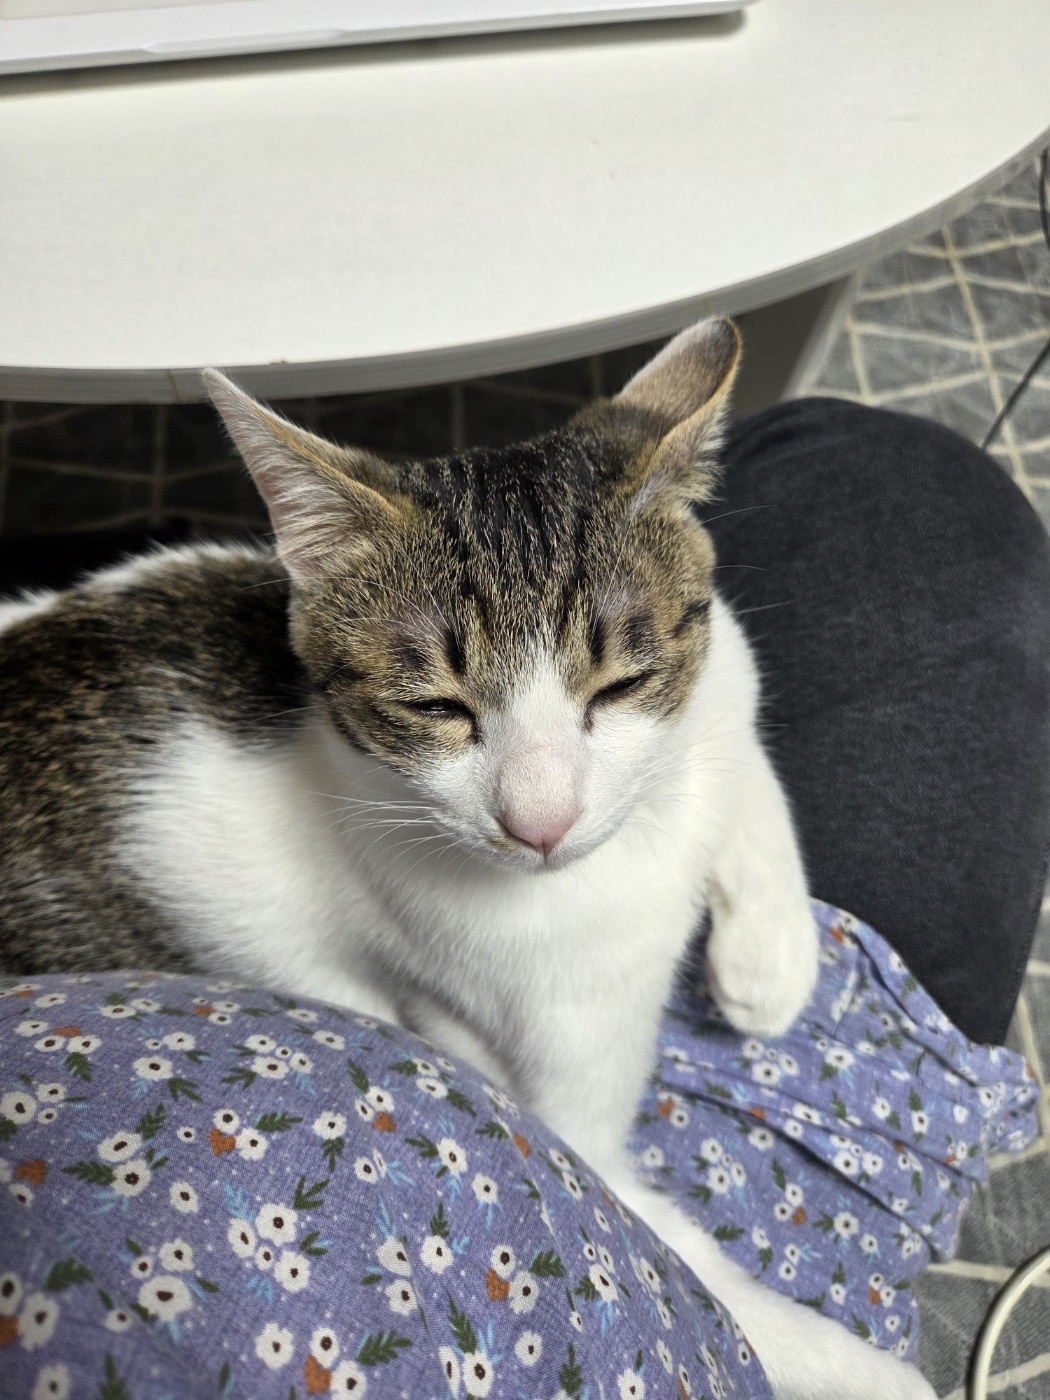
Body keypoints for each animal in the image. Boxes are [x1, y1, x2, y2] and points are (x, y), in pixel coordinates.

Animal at [0, 318, 933, 1400]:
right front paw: (857, 1365)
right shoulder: (517, 1053)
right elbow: (663, 1233)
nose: (541, 820)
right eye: (436, 706)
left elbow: (741, 743)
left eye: (621, 683)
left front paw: (769, 961)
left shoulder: (721, 675)